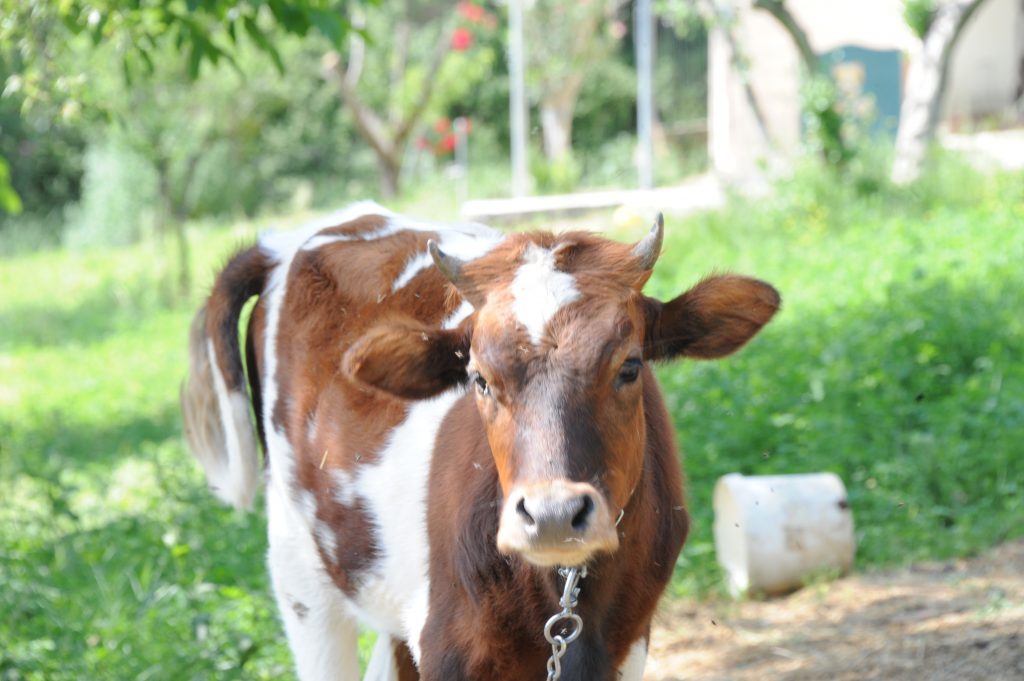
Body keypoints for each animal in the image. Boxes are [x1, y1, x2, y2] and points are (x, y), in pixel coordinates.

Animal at [182, 202, 774, 679]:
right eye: (480, 379)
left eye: (630, 367)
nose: (553, 514)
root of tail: (285, 241)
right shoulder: (449, 647)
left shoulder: (628, 643)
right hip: (300, 576)